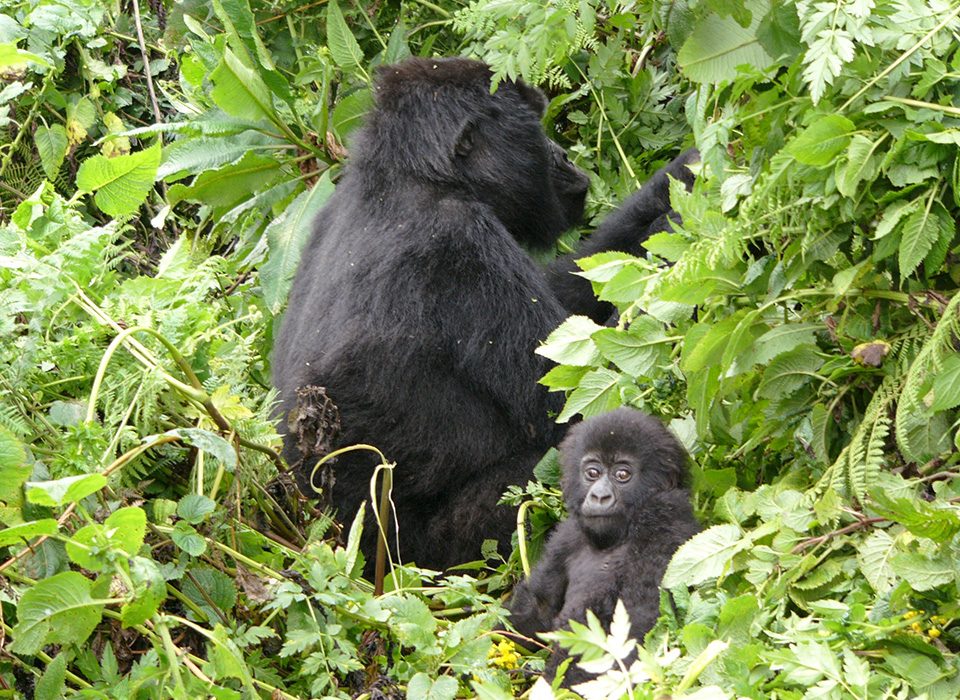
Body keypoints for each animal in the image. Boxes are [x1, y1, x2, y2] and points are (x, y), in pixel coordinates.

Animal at [274, 56, 692, 568]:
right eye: (534, 125)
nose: (564, 156)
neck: (411, 176)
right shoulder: (459, 245)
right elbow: (576, 394)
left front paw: (676, 183)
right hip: (431, 557)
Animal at [510, 408, 696, 680]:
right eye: (593, 473)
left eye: (622, 475)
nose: (599, 496)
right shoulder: (567, 535)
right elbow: (537, 607)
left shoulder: (664, 519)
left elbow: (637, 623)